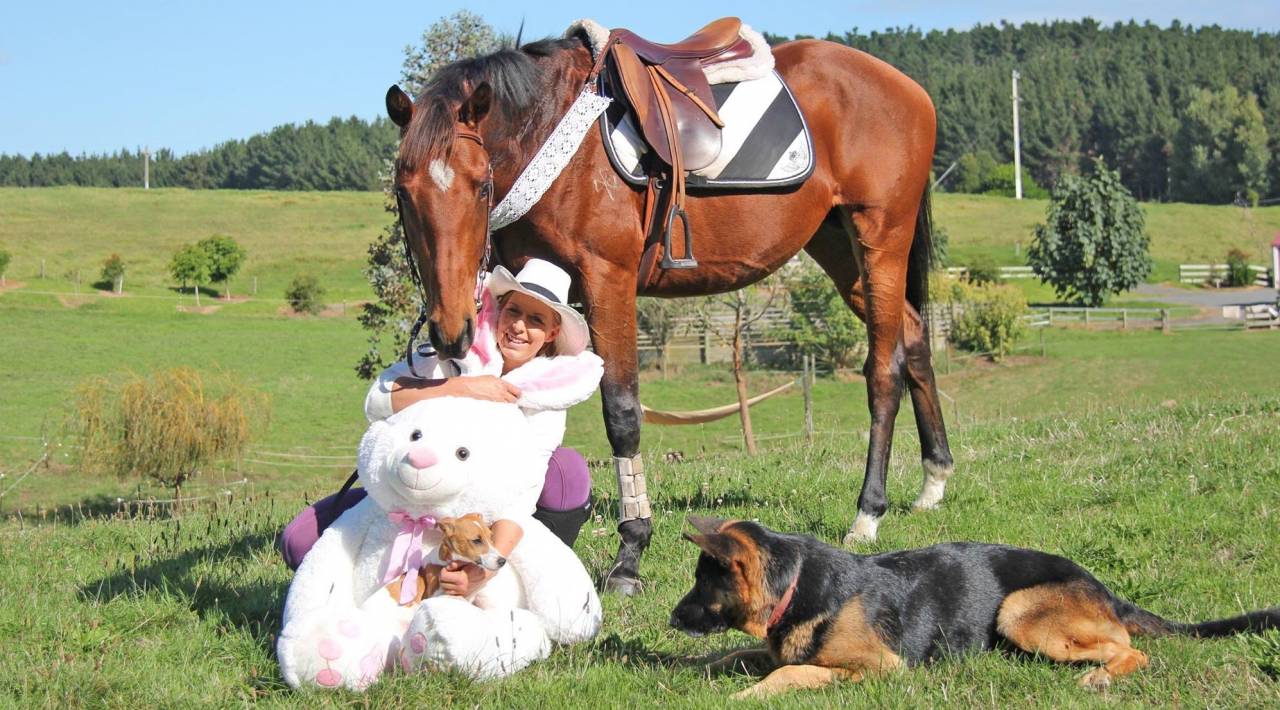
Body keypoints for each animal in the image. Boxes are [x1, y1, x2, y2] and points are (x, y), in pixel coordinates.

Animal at [384, 28, 954, 595]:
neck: (555, 140)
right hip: (838, 247)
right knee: (915, 337)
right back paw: (934, 482)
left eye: (481, 185)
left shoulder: (607, 281)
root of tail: (909, 88)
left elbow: (622, 413)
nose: (450, 329)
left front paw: (630, 554)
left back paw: (868, 514)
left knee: (885, 369)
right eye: (403, 194)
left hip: (880, 239)